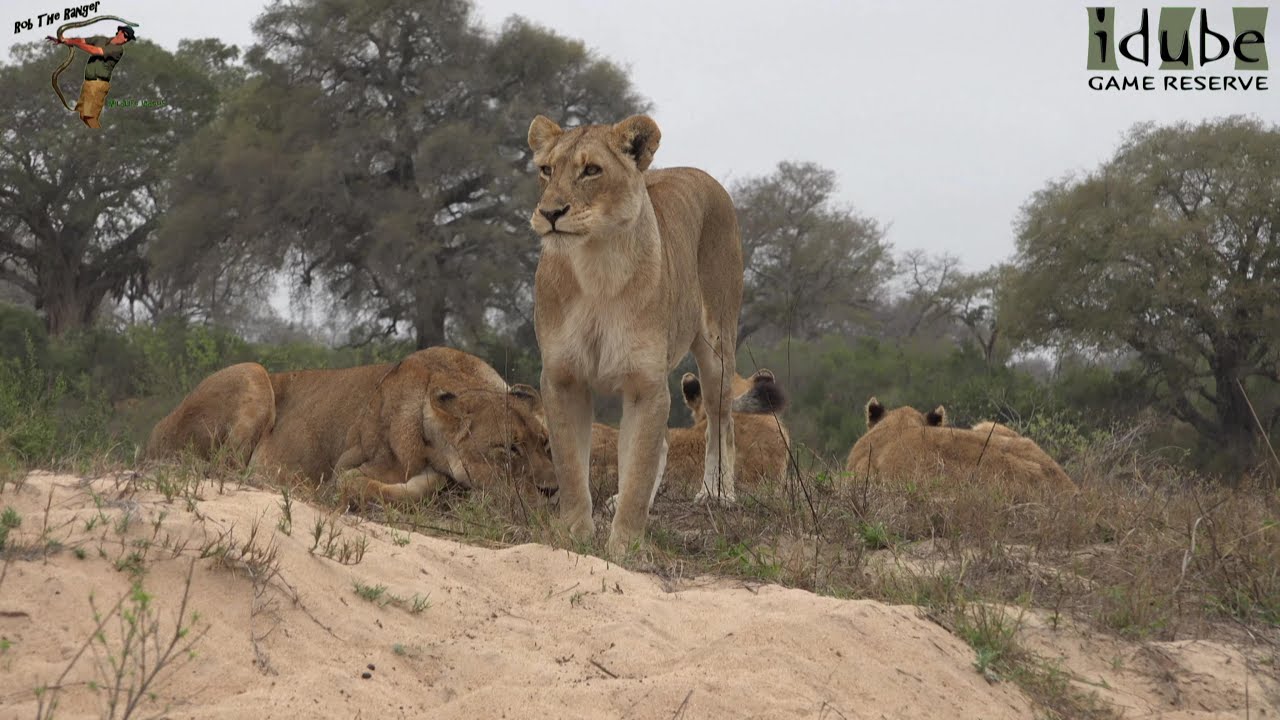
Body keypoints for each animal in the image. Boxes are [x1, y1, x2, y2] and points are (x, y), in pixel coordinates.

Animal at [145, 348, 556, 505]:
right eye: (509, 448)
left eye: (546, 445)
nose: (553, 491)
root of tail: (155, 431)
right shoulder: (350, 467)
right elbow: (360, 484)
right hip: (253, 373)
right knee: (226, 471)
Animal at [528, 113, 744, 554]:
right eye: (546, 170)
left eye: (591, 171)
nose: (550, 212)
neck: (596, 266)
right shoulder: (562, 378)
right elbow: (571, 467)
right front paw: (573, 535)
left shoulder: (646, 385)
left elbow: (639, 467)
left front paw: (624, 547)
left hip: (718, 345)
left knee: (721, 419)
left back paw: (717, 493)